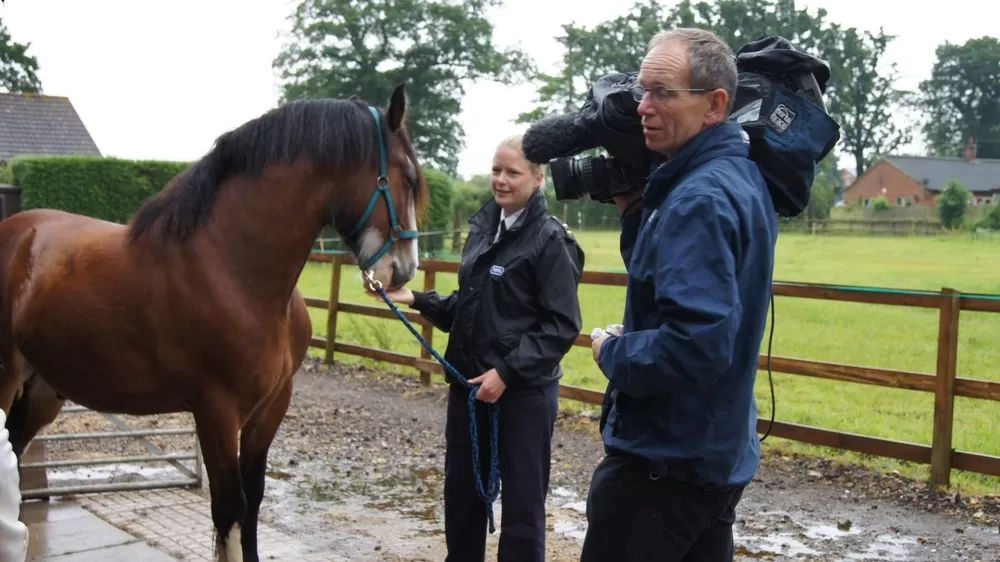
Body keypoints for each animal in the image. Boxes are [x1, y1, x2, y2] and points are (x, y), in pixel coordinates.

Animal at [0, 83, 426, 560]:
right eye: (409, 177)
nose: (404, 270)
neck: (232, 267)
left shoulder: (271, 407)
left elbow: (253, 501)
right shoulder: (216, 410)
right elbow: (229, 508)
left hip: (41, 390)